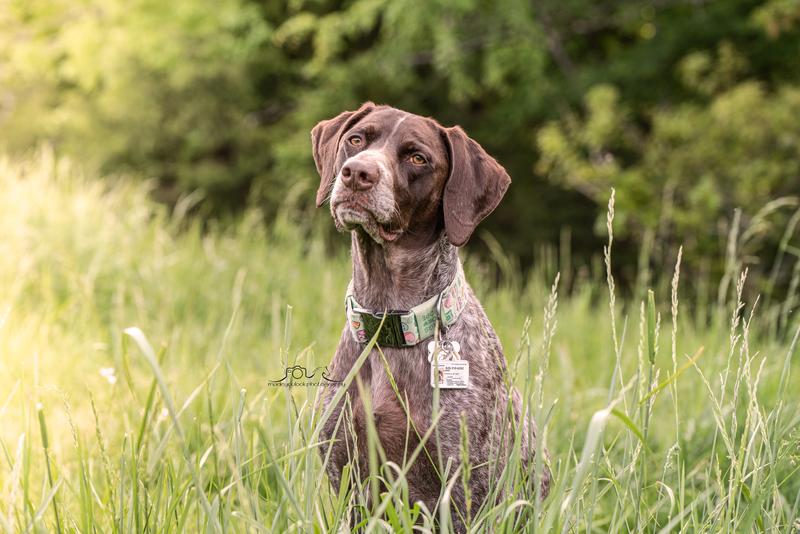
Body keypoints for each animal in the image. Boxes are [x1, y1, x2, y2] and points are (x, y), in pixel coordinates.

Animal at [312, 101, 552, 528]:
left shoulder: (463, 494)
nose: (357, 173)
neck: (389, 321)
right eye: (356, 139)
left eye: (417, 158)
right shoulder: (347, 482)